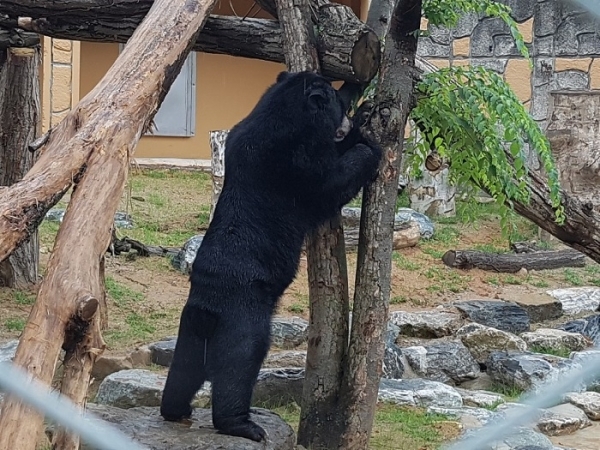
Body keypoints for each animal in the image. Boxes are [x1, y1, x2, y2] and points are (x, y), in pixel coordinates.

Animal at [159, 72, 382, 442]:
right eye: (336, 101)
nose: (349, 100)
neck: (282, 113)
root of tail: (208, 311)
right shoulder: (293, 163)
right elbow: (330, 182)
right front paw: (369, 143)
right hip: (243, 318)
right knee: (239, 364)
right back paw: (245, 426)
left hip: (189, 331)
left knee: (183, 371)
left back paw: (176, 410)